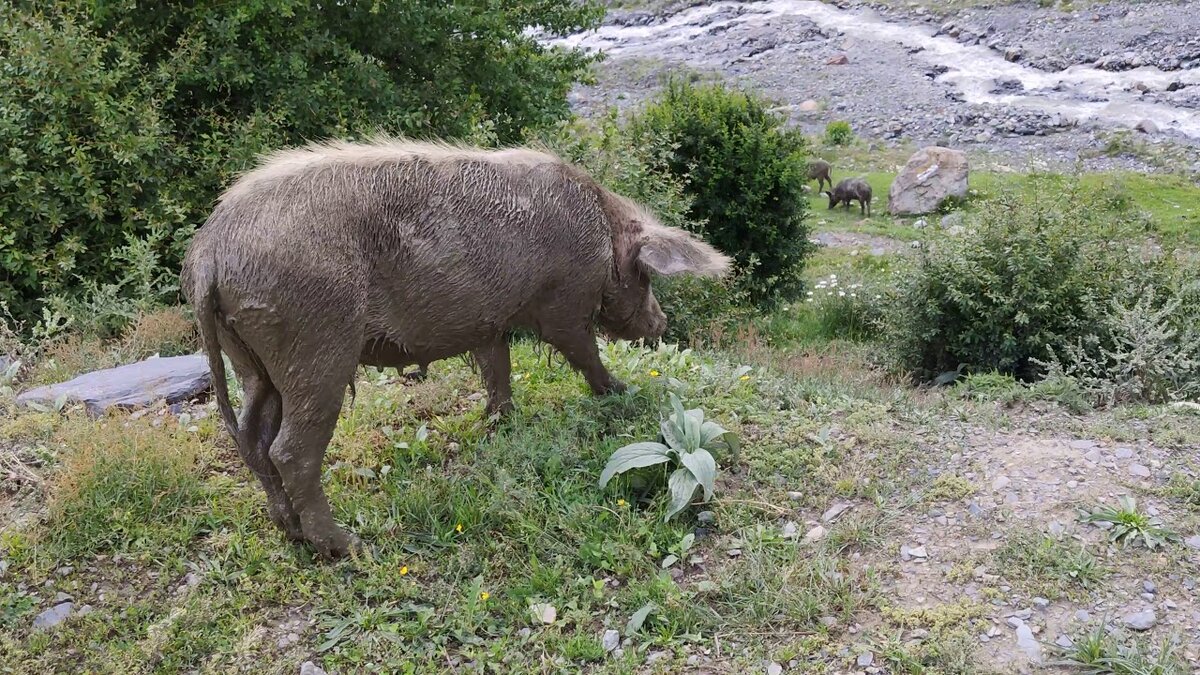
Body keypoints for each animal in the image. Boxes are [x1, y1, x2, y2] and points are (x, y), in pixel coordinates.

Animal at [184, 136, 729, 557]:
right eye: (644, 275)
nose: (661, 323)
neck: (601, 233)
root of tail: (209, 255)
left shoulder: (488, 322)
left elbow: (497, 367)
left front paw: (499, 422)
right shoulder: (564, 303)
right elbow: (582, 351)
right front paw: (621, 391)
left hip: (252, 359)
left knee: (253, 439)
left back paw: (290, 532)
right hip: (314, 342)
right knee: (290, 449)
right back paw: (348, 546)